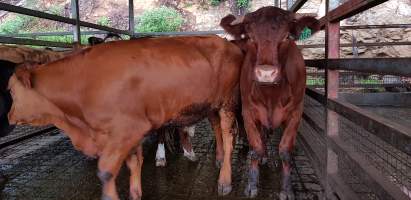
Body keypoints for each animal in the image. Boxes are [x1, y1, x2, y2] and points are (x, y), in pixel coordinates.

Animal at [4, 36, 245, 200]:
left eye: (11, 91)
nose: (9, 116)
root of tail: (227, 42)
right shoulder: (125, 134)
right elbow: (134, 163)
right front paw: (135, 193)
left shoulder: (126, 131)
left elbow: (106, 171)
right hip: (212, 106)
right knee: (217, 128)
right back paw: (219, 158)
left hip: (228, 103)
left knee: (228, 136)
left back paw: (224, 180)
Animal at [220, 6, 320, 200]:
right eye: (250, 37)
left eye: (287, 37)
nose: (266, 74)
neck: (271, 96)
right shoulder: (249, 113)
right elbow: (256, 148)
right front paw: (252, 184)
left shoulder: (296, 114)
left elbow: (285, 152)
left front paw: (287, 189)